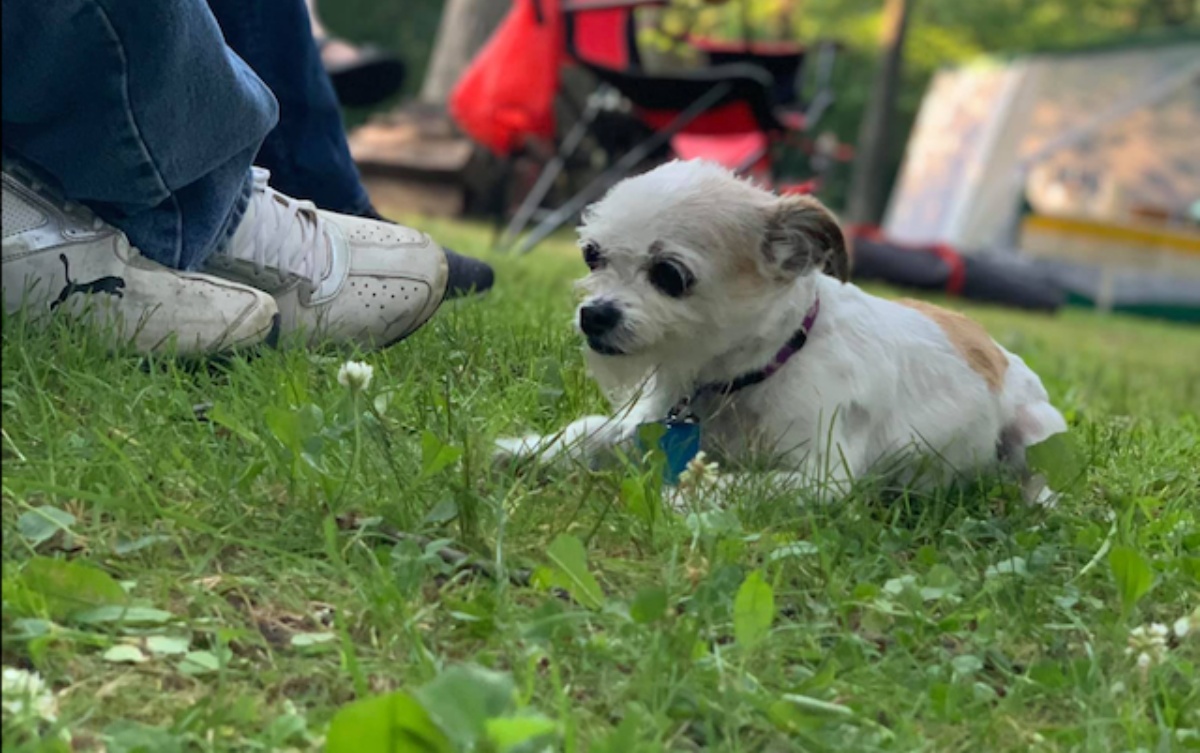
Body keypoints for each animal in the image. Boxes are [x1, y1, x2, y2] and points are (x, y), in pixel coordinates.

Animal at [499, 158, 1070, 501]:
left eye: (669, 275)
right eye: (592, 255)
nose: (594, 314)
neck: (747, 378)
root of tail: (993, 345)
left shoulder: (821, 478)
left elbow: (738, 484)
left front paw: (681, 496)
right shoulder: (642, 423)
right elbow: (588, 431)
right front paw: (533, 449)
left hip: (1036, 431)